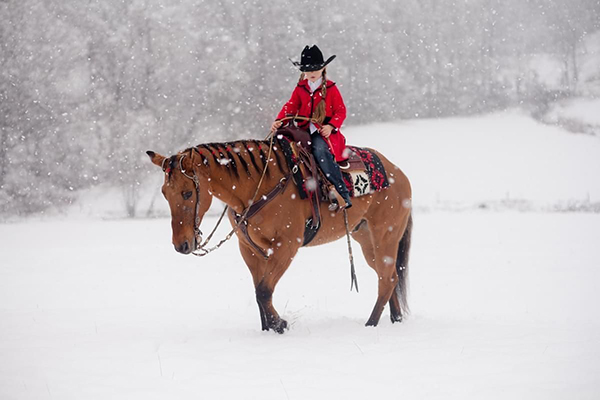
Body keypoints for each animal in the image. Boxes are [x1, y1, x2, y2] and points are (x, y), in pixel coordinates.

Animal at [146, 136, 412, 332]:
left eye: (187, 193)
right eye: (164, 193)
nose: (181, 245)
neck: (258, 187)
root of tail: (399, 174)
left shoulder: (286, 246)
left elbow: (264, 290)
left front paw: (279, 324)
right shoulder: (249, 249)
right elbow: (259, 290)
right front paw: (268, 327)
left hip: (385, 235)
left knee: (386, 279)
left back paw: (371, 323)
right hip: (366, 239)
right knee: (390, 277)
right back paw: (395, 318)